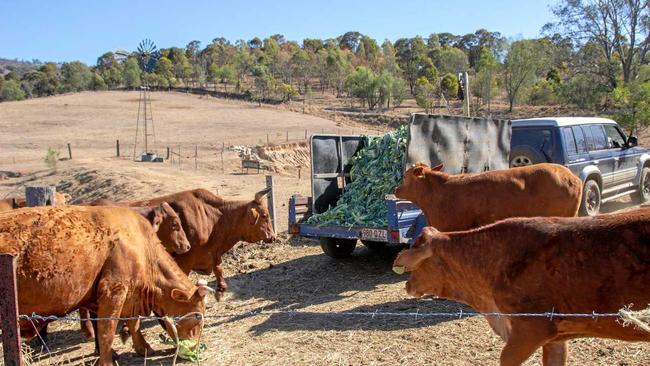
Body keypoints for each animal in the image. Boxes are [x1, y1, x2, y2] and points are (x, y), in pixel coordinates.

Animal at [0, 206, 210, 366]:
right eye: (198, 316)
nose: (194, 347)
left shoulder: (127, 296)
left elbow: (133, 323)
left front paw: (144, 348)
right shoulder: (114, 292)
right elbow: (107, 332)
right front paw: (108, 360)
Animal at [130, 189, 274, 300]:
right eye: (265, 215)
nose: (273, 236)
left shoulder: (213, 253)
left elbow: (218, 268)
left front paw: (221, 290)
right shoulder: (185, 259)